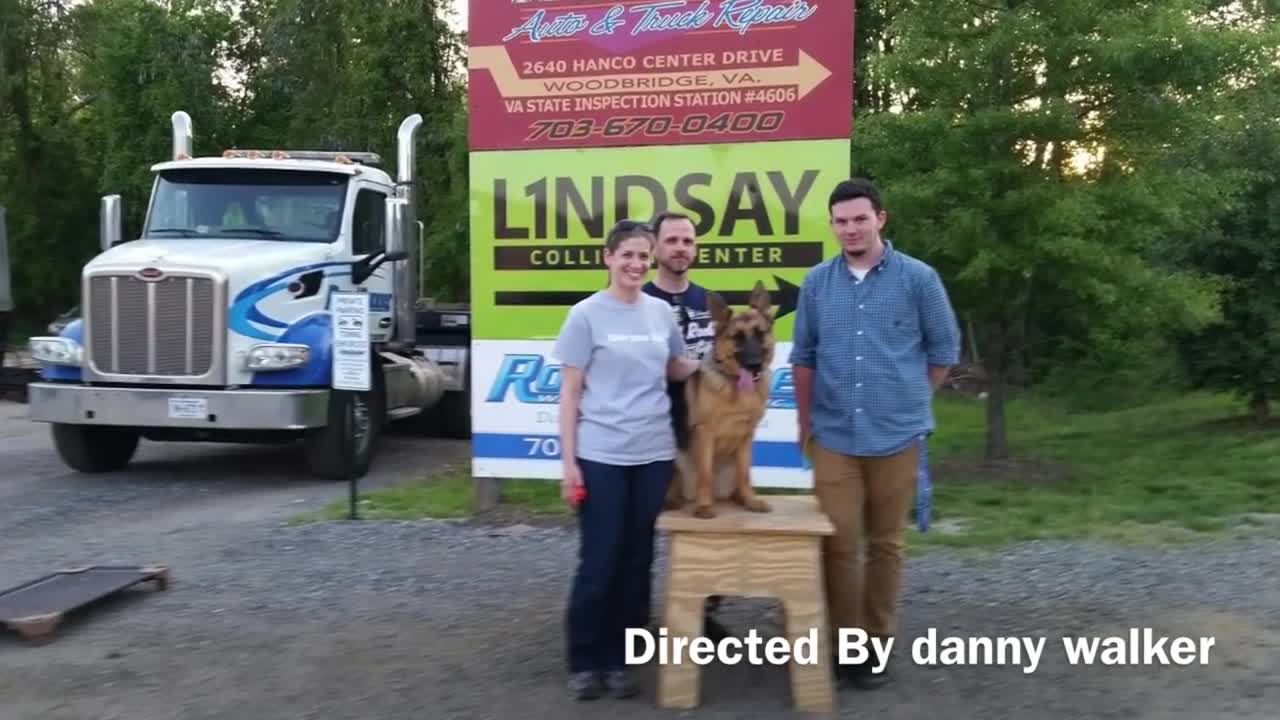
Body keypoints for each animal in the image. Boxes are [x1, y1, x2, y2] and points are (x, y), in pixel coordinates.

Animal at [665, 279, 773, 515]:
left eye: (760, 334)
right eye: (737, 338)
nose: (754, 365)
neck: (733, 385)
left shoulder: (746, 436)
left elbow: (745, 474)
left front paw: (750, 500)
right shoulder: (705, 433)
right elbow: (705, 474)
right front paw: (704, 506)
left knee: (739, 483)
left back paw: (741, 498)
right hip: (675, 461)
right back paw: (674, 501)